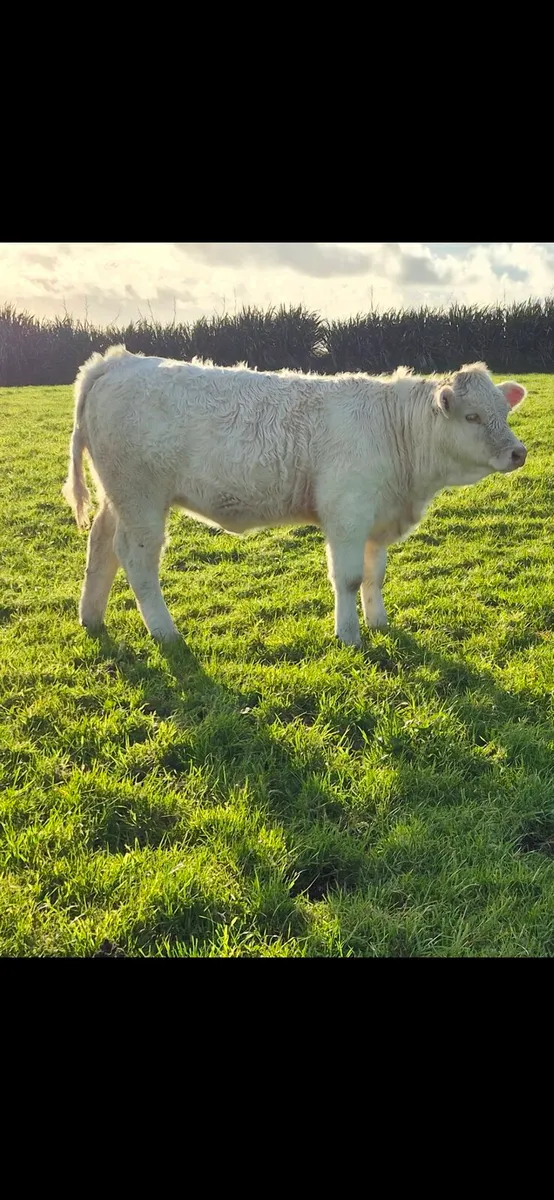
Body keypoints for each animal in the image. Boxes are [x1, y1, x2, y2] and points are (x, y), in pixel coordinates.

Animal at [62, 347, 527, 647]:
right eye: (472, 416)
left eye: (504, 414)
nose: (518, 452)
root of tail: (117, 361)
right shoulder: (347, 514)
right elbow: (349, 578)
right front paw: (349, 636)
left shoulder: (377, 518)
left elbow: (374, 576)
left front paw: (379, 623)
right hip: (140, 498)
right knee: (137, 559)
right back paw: (165, 632)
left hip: (116, 497)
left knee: (100, 546)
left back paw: (92, 618)